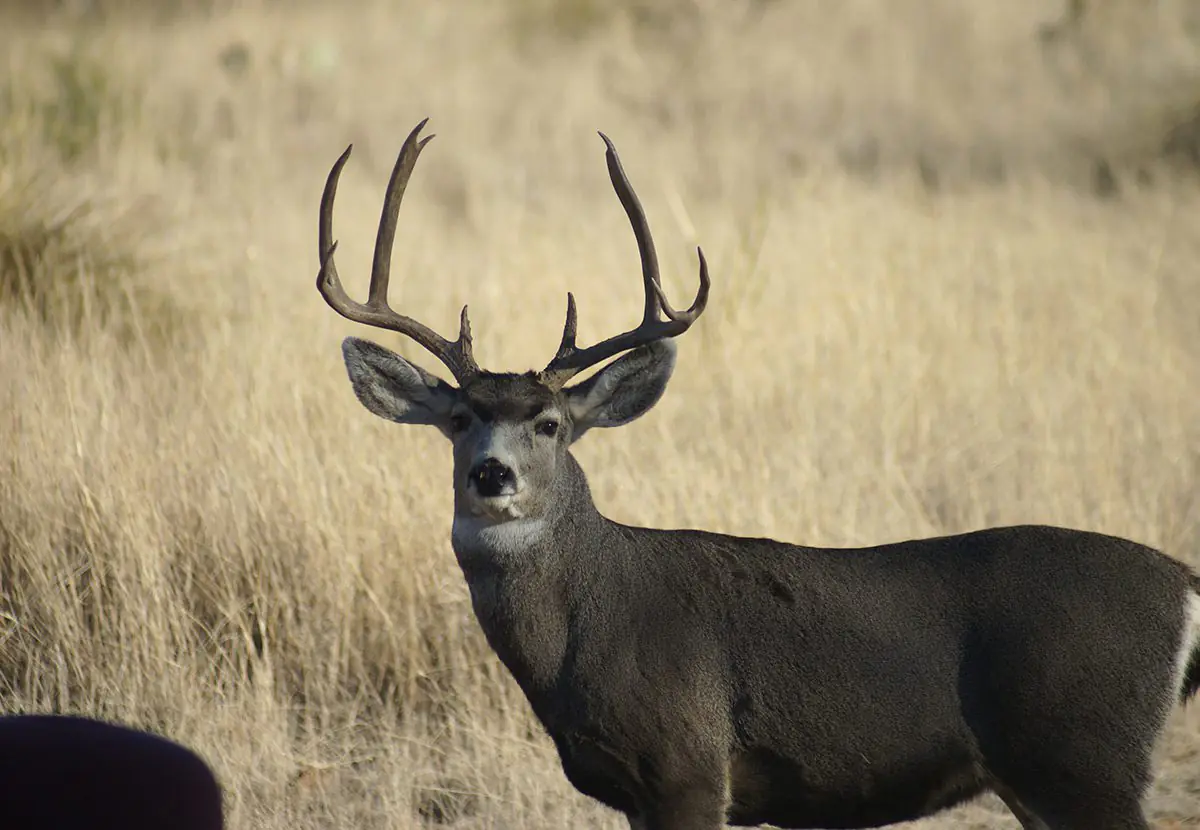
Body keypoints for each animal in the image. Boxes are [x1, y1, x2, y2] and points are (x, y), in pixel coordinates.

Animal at [317, 118, 1200, 830]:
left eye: (551, 424)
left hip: (1085, 759)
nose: (493, 476)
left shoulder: (688, 764)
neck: (586, 622)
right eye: (460, 419)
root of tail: (1186, 587)